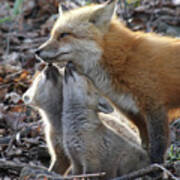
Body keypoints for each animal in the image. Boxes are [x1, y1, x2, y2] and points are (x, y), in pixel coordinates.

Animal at [34, 0, 180, 164]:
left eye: (64, 34)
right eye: (53, 35)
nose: (37, 51)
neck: (123, 60)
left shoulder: (154, 107)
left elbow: (158, 146)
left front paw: (155, 166)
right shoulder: (131, 111)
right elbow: (144, 142)